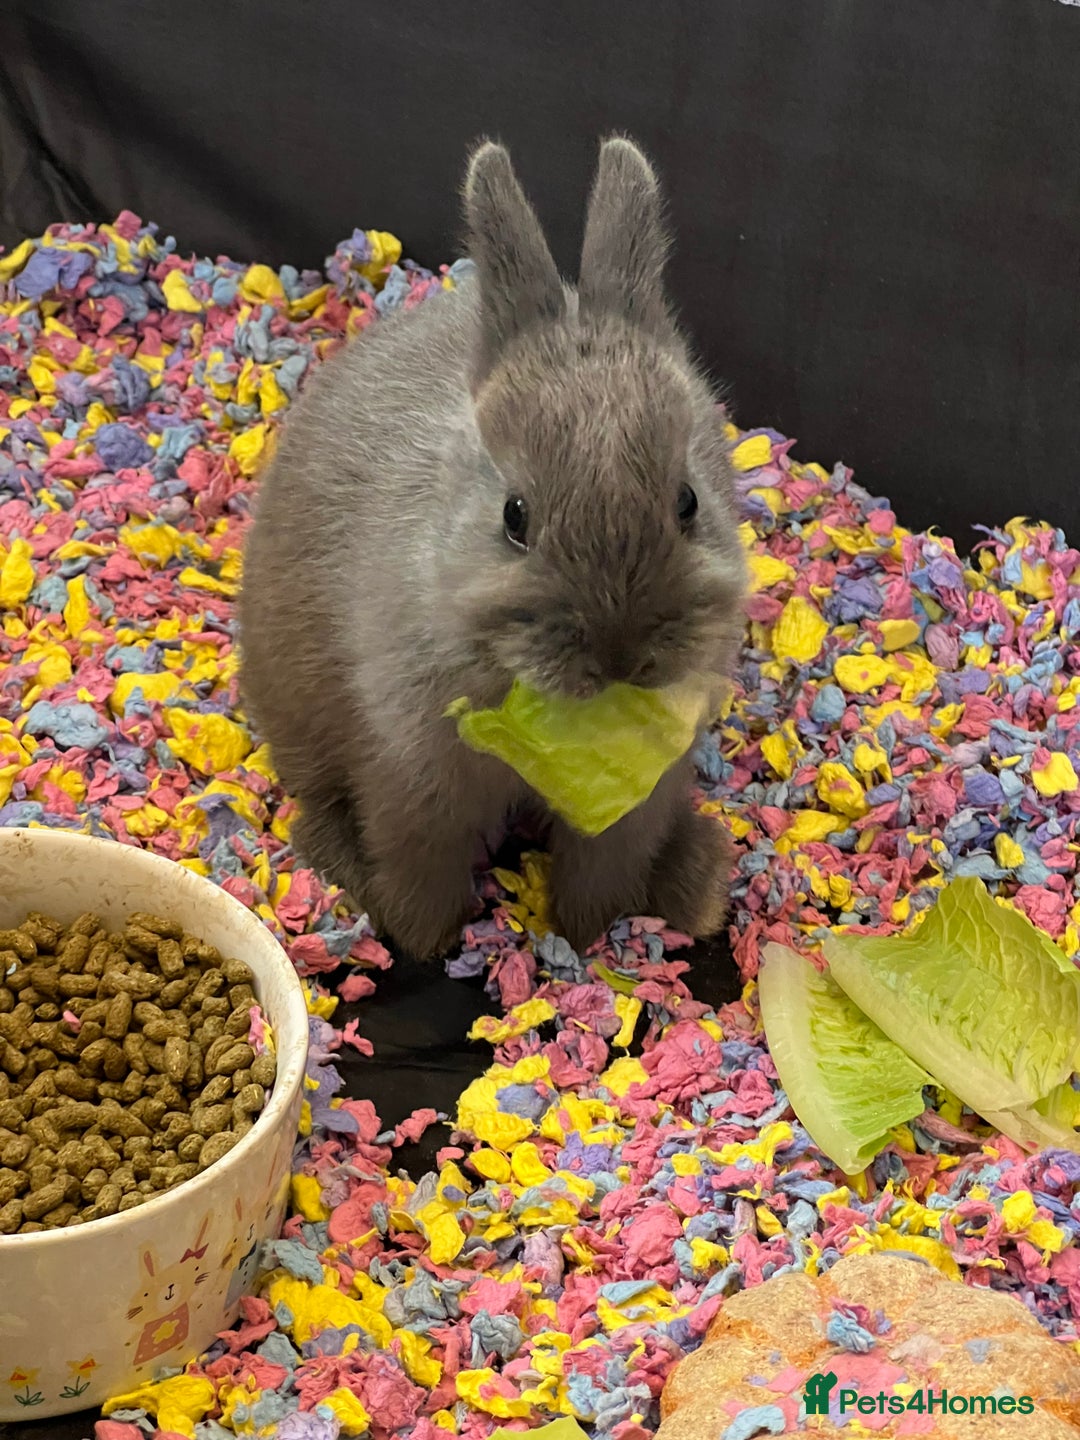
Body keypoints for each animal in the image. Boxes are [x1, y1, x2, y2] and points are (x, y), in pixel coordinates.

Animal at [238, 135, 747, 961]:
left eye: (688, 501)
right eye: (516, 516)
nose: (618, 656)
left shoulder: (629, 804)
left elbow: (601, 868)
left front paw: (586, 934)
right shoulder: (412, 776)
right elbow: (421, 865)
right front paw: (427, 942)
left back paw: (698, 884)